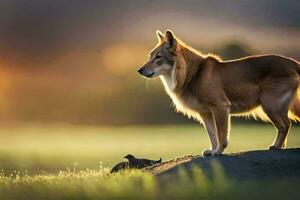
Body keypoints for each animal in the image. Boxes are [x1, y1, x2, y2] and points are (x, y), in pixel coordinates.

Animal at [138, 29, 300, 155]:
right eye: (150, 56)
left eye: (158, 57)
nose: (139, 70)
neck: (194, 73)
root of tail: (292, 62)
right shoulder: (206, 114)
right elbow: (212, 134)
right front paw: (212, 150)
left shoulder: (220, 107)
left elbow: (221, 134)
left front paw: (219, 151)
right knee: (285, 124)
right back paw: (280, 146)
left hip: (270, 105)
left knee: (285, 125)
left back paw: (276, 146)